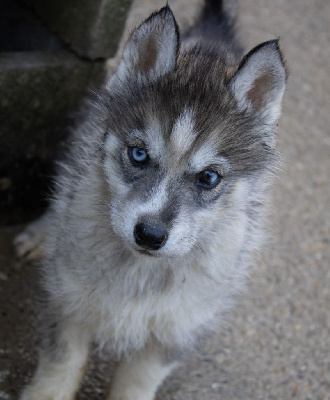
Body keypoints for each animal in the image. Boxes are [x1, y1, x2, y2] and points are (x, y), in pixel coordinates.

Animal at [14, 1, 286, 398]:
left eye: (208, 177)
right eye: (139, 154)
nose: (150, 235)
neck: (140, 269)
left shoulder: (175, 331)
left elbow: (136, 383)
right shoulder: (67, 301)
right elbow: (61, 362)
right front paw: (45, 392)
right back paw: (41, 234)